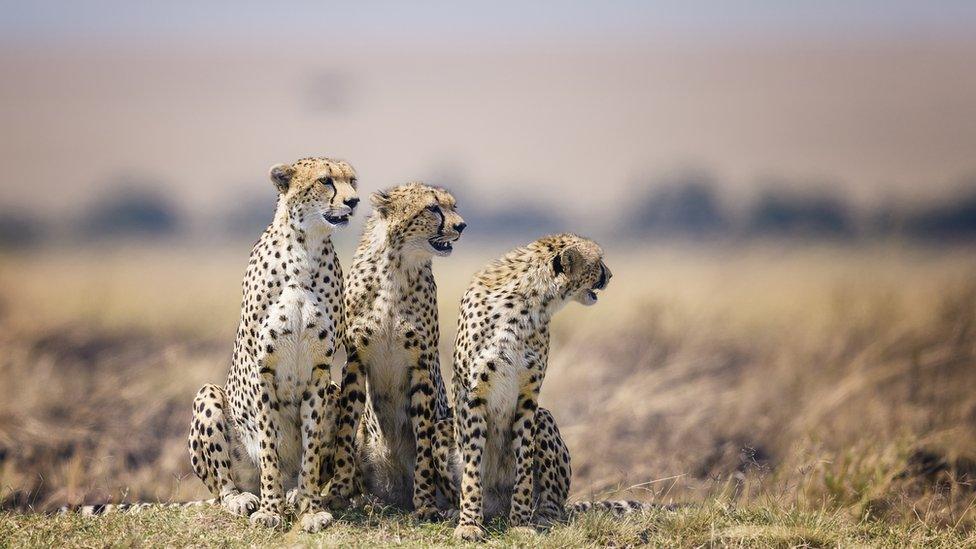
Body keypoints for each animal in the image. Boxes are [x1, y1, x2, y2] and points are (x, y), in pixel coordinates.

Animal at [184, 155, 358, 532]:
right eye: (325, 180)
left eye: (352, 180)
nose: (353, 201)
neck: (306, 250)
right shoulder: (261, 369)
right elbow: (268, 447)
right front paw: (270, 510)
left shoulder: (320, 371)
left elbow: (310, 451)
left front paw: (310, 509)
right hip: (208, 395)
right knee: (223, 487)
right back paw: (243, 498)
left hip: (336, 391)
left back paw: (296, 495)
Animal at [326, 183, 468, 520]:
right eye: (433, 208)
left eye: (453, 206)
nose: (461, 226)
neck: (396, 267)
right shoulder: (355, 362)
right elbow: (345, 429)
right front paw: (337, 492)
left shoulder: (422, 365)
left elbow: (424, 443)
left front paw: (426, 503)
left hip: (447, 423)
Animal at [446, 232, 612, 540]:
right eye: (597, 262)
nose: (610, 275)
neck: (527, 303)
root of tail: (497, 506)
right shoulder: (472, 394)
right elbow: (472, 468)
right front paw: (469, 523)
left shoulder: (528, 397)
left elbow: (523, 463)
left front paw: (521, 522)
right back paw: (455, 511)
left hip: (544, 418)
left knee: (554, 504)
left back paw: (542, 517)